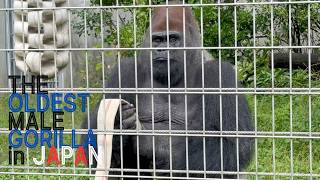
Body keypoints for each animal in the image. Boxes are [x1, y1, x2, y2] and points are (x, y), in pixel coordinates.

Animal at [81, 1, 254, 179]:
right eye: (158, 40)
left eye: (172, 39)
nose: (162, 49)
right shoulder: (125, 71)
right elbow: (92, 141)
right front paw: (117, 124)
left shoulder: (220, 74)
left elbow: (233, 143)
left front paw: (148, 144)